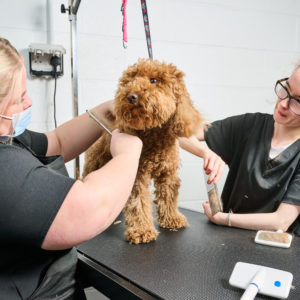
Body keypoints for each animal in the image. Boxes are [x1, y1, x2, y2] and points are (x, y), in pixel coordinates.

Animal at [83, 58, 203, 244]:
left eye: (154, 80)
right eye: (129, 81)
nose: (131, 96)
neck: (155, 136)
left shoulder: (168, 174)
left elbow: (168, 196)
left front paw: (171, 218)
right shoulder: (137, 176)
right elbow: (138, 203)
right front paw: (141, 230)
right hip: (94, 164)